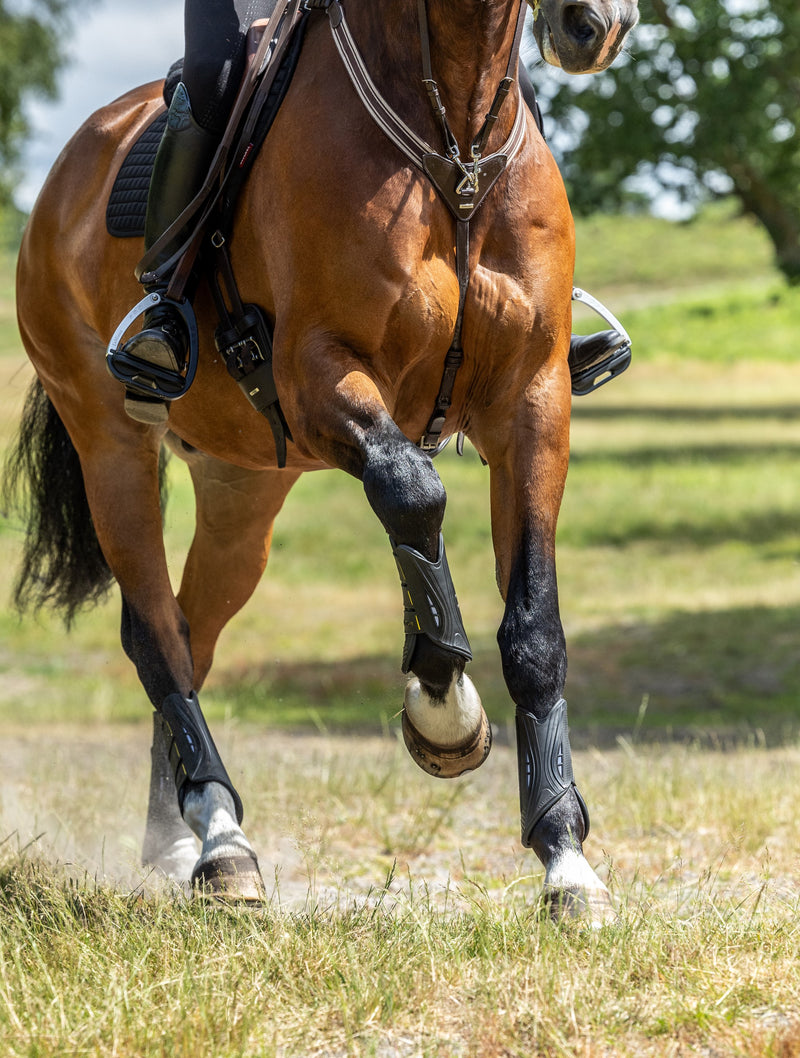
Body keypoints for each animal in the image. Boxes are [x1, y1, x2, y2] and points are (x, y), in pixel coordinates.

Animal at [7, 0, 639, 918]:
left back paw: (178, 836)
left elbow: (535, 629)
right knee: (156, 637)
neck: (453, 153)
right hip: (110, 447)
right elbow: (413, 494)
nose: (597, 25)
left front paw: (566, 859)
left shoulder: (533, 403)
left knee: (192, 632)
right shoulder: (319, 376)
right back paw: (223, 843)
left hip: (244, 492)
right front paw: (443, 712)